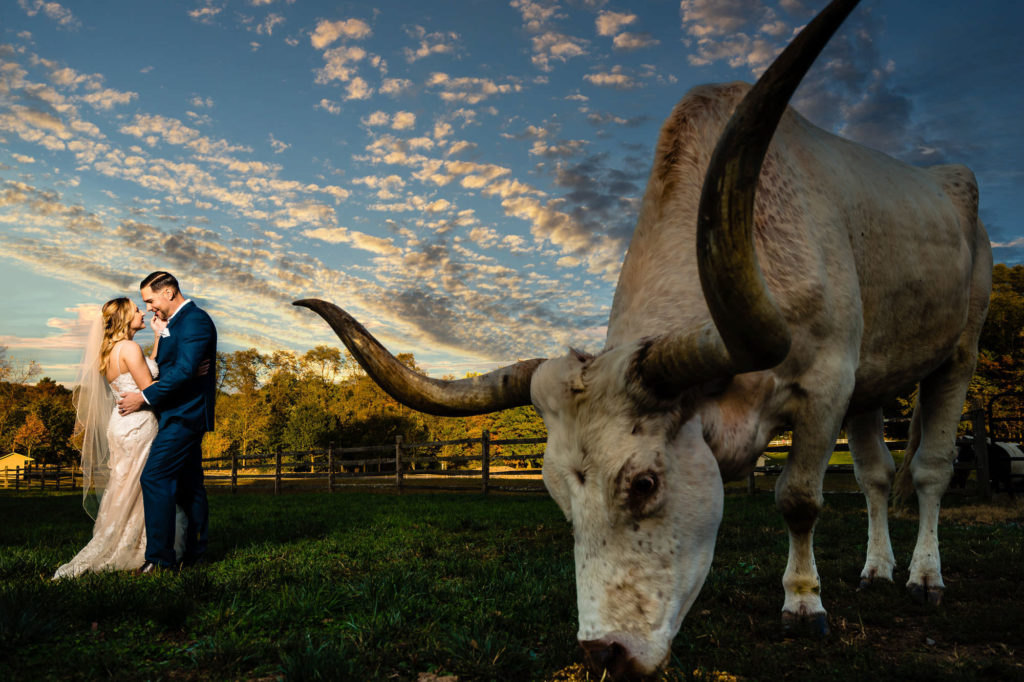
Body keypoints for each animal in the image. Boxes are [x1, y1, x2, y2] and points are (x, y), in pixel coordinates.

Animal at [294, 1, 991, 675]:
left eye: (646, 484)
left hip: (957, 353)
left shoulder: (826, 384)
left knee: (928, 470)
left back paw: (925, 577)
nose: (604, 653)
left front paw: (802, 604)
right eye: (555, 494)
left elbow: (798, 499)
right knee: (875, 476)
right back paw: (877, 570)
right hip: (874, 384)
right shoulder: (844, 386)